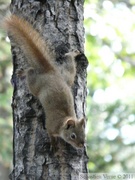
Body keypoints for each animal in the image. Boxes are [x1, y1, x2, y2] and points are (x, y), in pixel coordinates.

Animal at [3, 14, 86, 149]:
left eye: (84, 133)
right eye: (73, 136)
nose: (81, 145)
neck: (62, 122)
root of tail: (50, 72)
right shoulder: (51, 126)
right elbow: (50, 134)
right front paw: (54, 144)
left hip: (66, 77)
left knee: (68, 62)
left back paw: (73, 54)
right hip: (35, 85)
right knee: (31, 72)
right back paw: (24, 72)